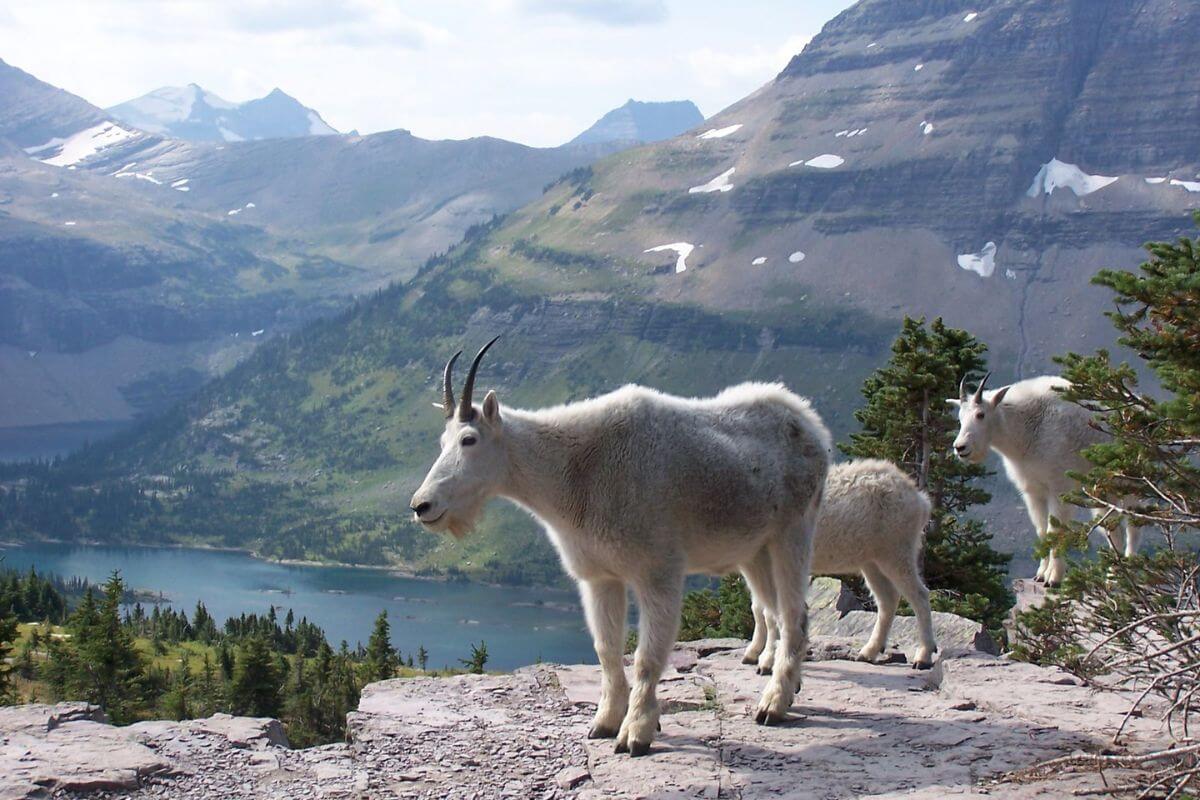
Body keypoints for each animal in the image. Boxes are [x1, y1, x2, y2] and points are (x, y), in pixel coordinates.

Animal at [410, 338, 831, 756]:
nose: (422, 505)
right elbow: (607, 649)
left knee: (795, 615)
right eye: (443, 441)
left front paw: (636, 733)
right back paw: (784, 680)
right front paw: (605, 722)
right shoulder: (599, 576)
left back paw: (773, 704)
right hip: (756, 549)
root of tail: (813, 425)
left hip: (794, 530)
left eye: (469, 439)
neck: (574, 471)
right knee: (774, 611)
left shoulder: (659, 569)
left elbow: (646, 657)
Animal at [743, 458, 937, 670]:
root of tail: (921, 501)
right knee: (888, 599)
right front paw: (752, 654)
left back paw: (923, 656)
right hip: (873, 560)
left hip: (897, 551)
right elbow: (758, 608)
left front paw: (766, 661)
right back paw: (869, 652)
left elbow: (769, 612)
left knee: (919, 596)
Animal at [949, 374, 1139, 586]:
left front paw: (1053, 578)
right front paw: (1040, 574)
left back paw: (1130, 570)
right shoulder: (1033, 491)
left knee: (1133, 526)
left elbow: (1054, 532)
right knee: (1114, 529)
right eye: (960, 417)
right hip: (1103, 491)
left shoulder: (1059, 488)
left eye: (980, 414)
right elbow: (1041, 532)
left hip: (1132, 481)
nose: (960, 447)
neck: (1025, 430)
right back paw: (1114, 576)